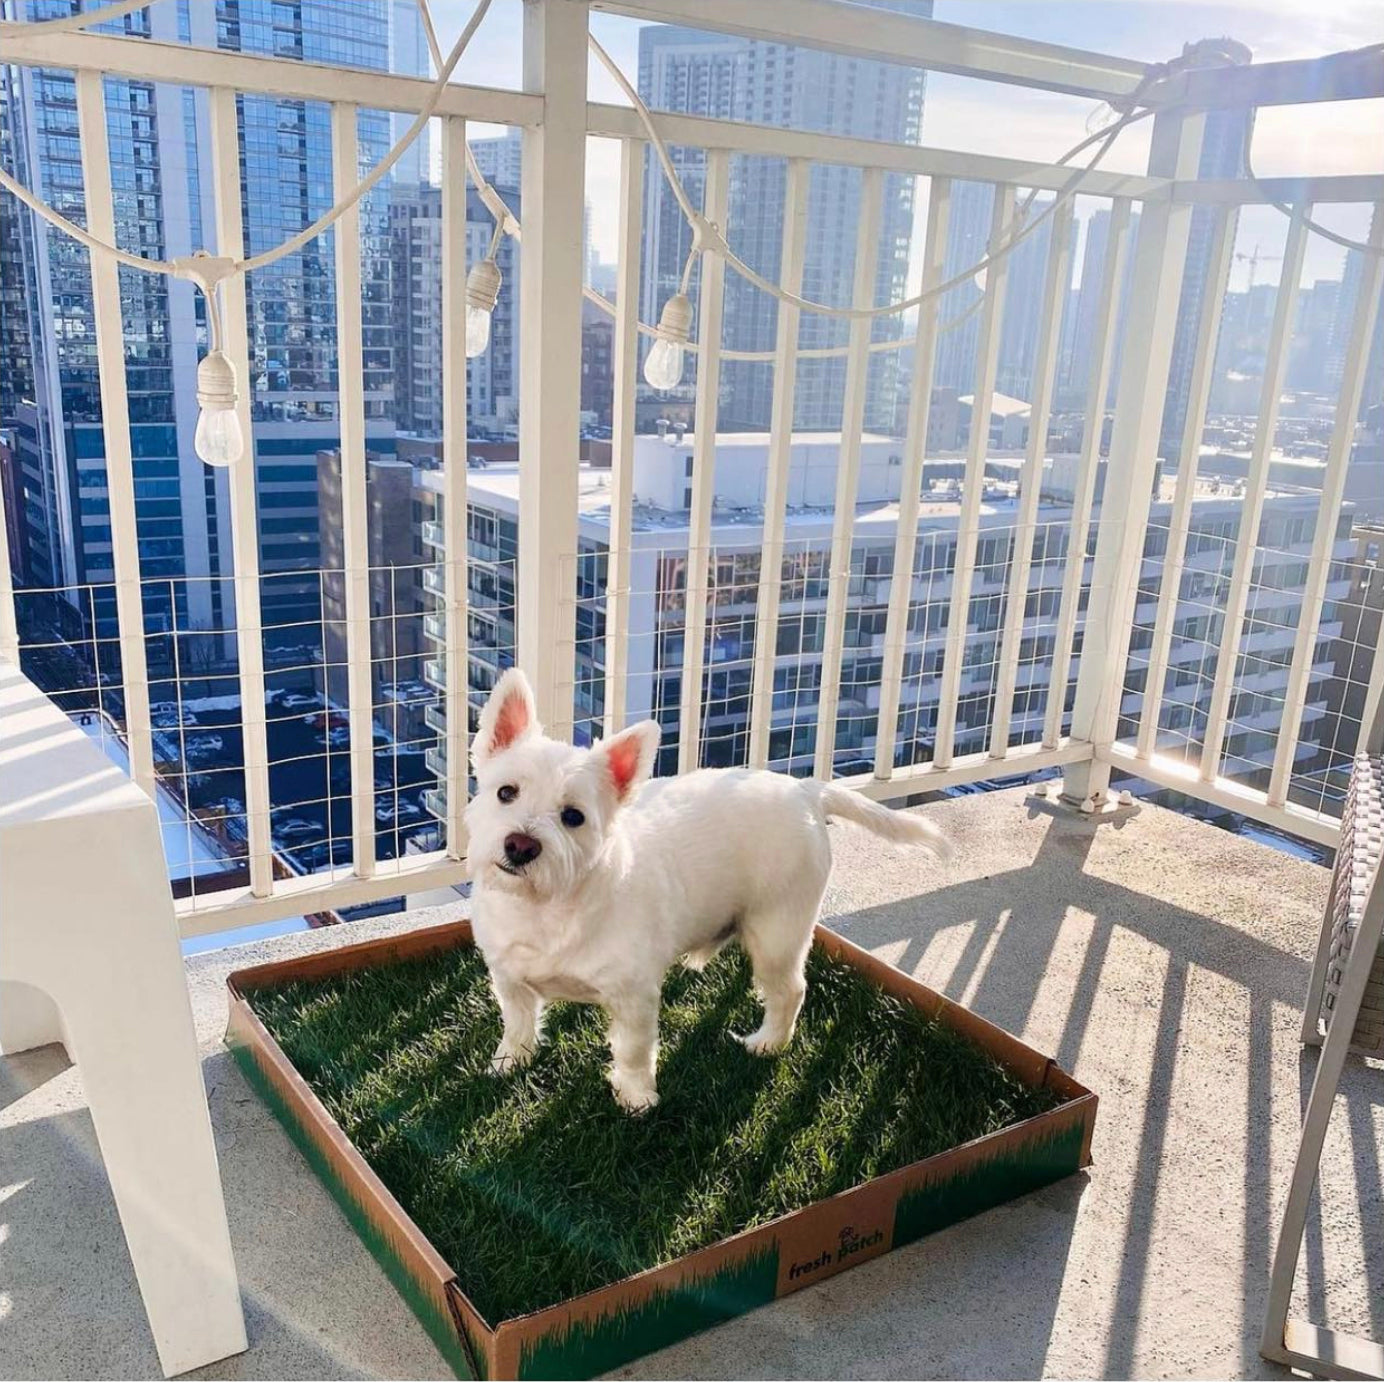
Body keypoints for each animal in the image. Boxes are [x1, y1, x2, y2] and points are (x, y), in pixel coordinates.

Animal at [465, 669, 952, 1112]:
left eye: (573, 817)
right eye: (506, 792)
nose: (521, 845)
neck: (543, 908)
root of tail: (806, 790)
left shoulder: (634, 997)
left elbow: (634, 1052)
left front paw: (636, 1098)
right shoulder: (509, 980)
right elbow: (518, 1024)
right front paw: (509, 1061)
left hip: (777, 934)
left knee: (790, 990)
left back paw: (768, 1043)